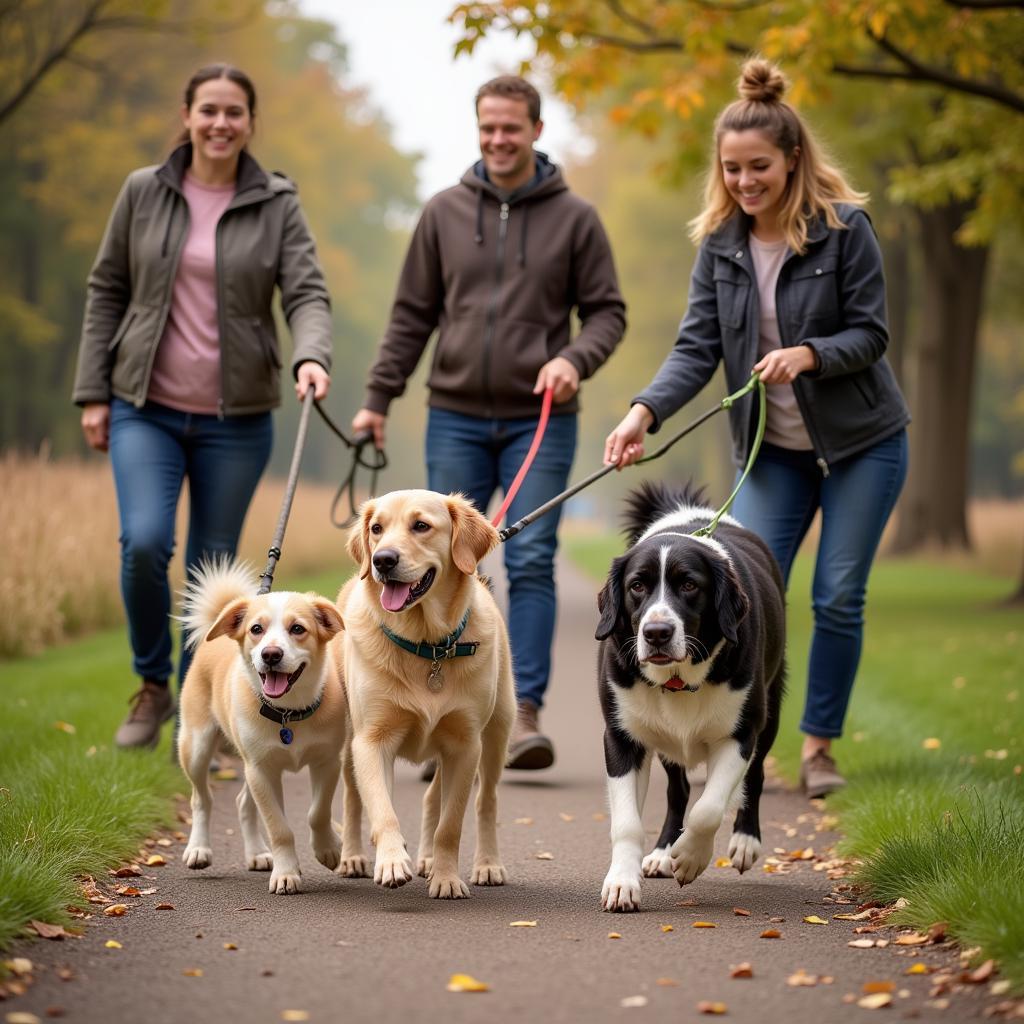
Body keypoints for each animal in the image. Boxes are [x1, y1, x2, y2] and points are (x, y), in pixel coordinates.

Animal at [177, 561, 368, 897]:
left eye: (298, 629)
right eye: (257, 629)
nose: (270, 655)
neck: (287, 715)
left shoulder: (326, 763)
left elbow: (317, 813)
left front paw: (329, 849)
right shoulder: (261, 771)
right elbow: (279, 827)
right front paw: (287, 873)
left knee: (243, 803)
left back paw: (257, 853)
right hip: (196, 745)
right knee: (201, 799)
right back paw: (199, 849)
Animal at [339, 491, 516, 901]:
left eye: (421, 525)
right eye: (376, 528)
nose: (382, 560)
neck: (426, 645)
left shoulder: (465, 744)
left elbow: (450, 824)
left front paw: (446, 878)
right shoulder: (371, 741)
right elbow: (382, 809)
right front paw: (391, 862)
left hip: (496, 734)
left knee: (484, 800)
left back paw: (481, 864)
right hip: (346, 743)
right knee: (354, 798)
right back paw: (353, 857)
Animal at [593, 479, 782, 913]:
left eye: (690, 585)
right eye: (637, 586)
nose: (656, 633)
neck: (679, 678)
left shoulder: (739, 734)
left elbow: (708, 809)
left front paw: (690, 857)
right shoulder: (621, 737)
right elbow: (627, 823)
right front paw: (623, 881)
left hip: (771, 710)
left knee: (755, 776)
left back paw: (744, 841)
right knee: (678, 791)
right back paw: (663, 851)